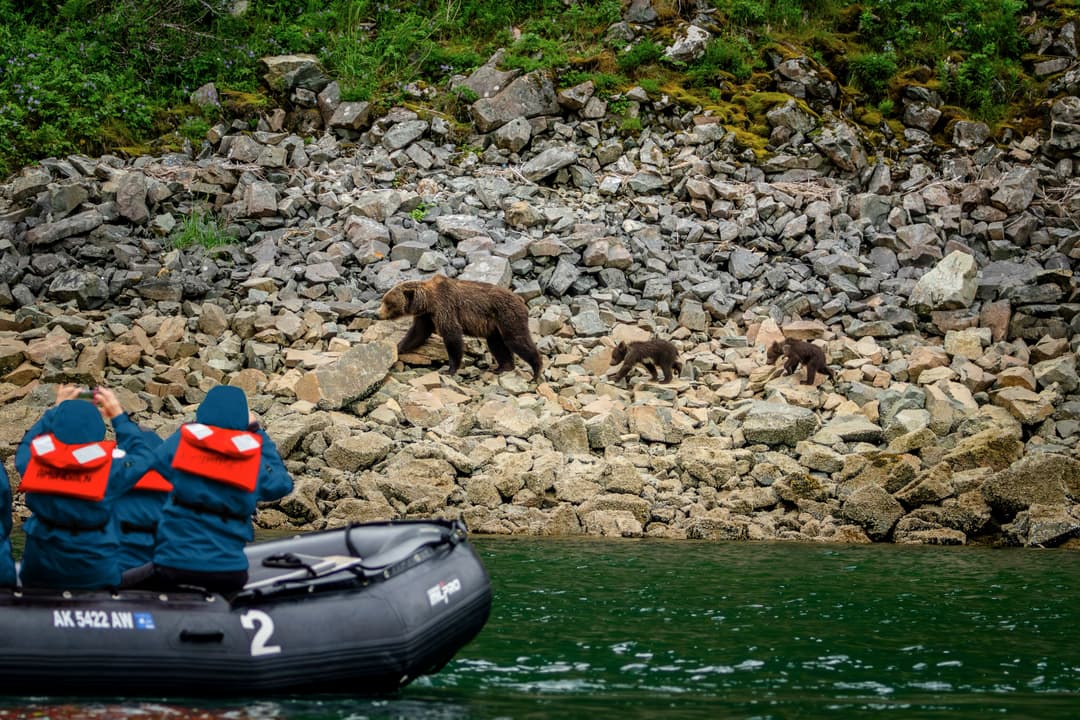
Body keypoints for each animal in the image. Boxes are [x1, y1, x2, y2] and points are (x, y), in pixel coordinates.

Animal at [379, 275, 543, 380]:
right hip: (494, 327)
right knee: (496, 344)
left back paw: (536, 370)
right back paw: (502, 367)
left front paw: (449, 370)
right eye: (384, 300)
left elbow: (452, 336)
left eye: (388, 303)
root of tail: (520, 299)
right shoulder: (426, 316)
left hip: (507, 315)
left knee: (516, 339)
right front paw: (396, 349)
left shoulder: (445, 308)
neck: (428, 302)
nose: (377, 314)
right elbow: (417, 333)